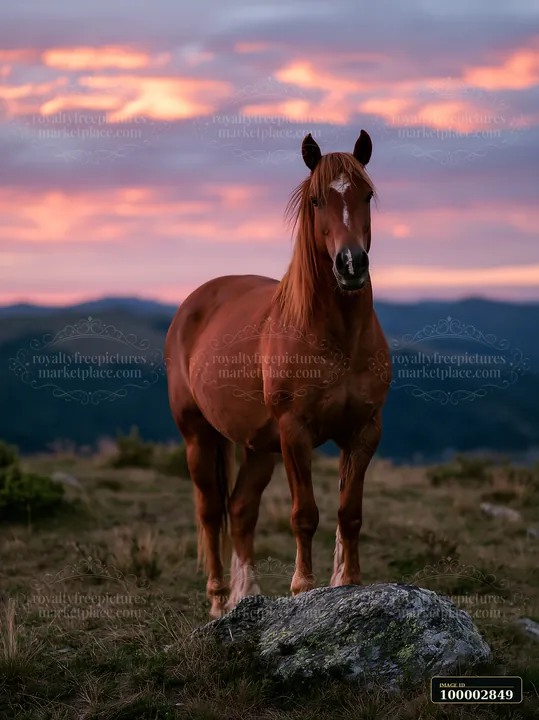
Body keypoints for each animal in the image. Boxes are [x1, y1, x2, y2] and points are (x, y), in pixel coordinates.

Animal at [165, 130, 392, 618]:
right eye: (317, 200)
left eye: (366, 195)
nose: (351, 264)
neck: (338, 338)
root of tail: (195, 301)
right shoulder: (295, 432)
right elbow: (304, 514)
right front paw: (303, 587)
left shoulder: (365, 430)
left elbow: (350, 512)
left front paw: (349, 581)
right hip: (199, 436)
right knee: (211, 512)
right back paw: (218, 602)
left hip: (259, 449)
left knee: (240, 510)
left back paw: (245, 597)